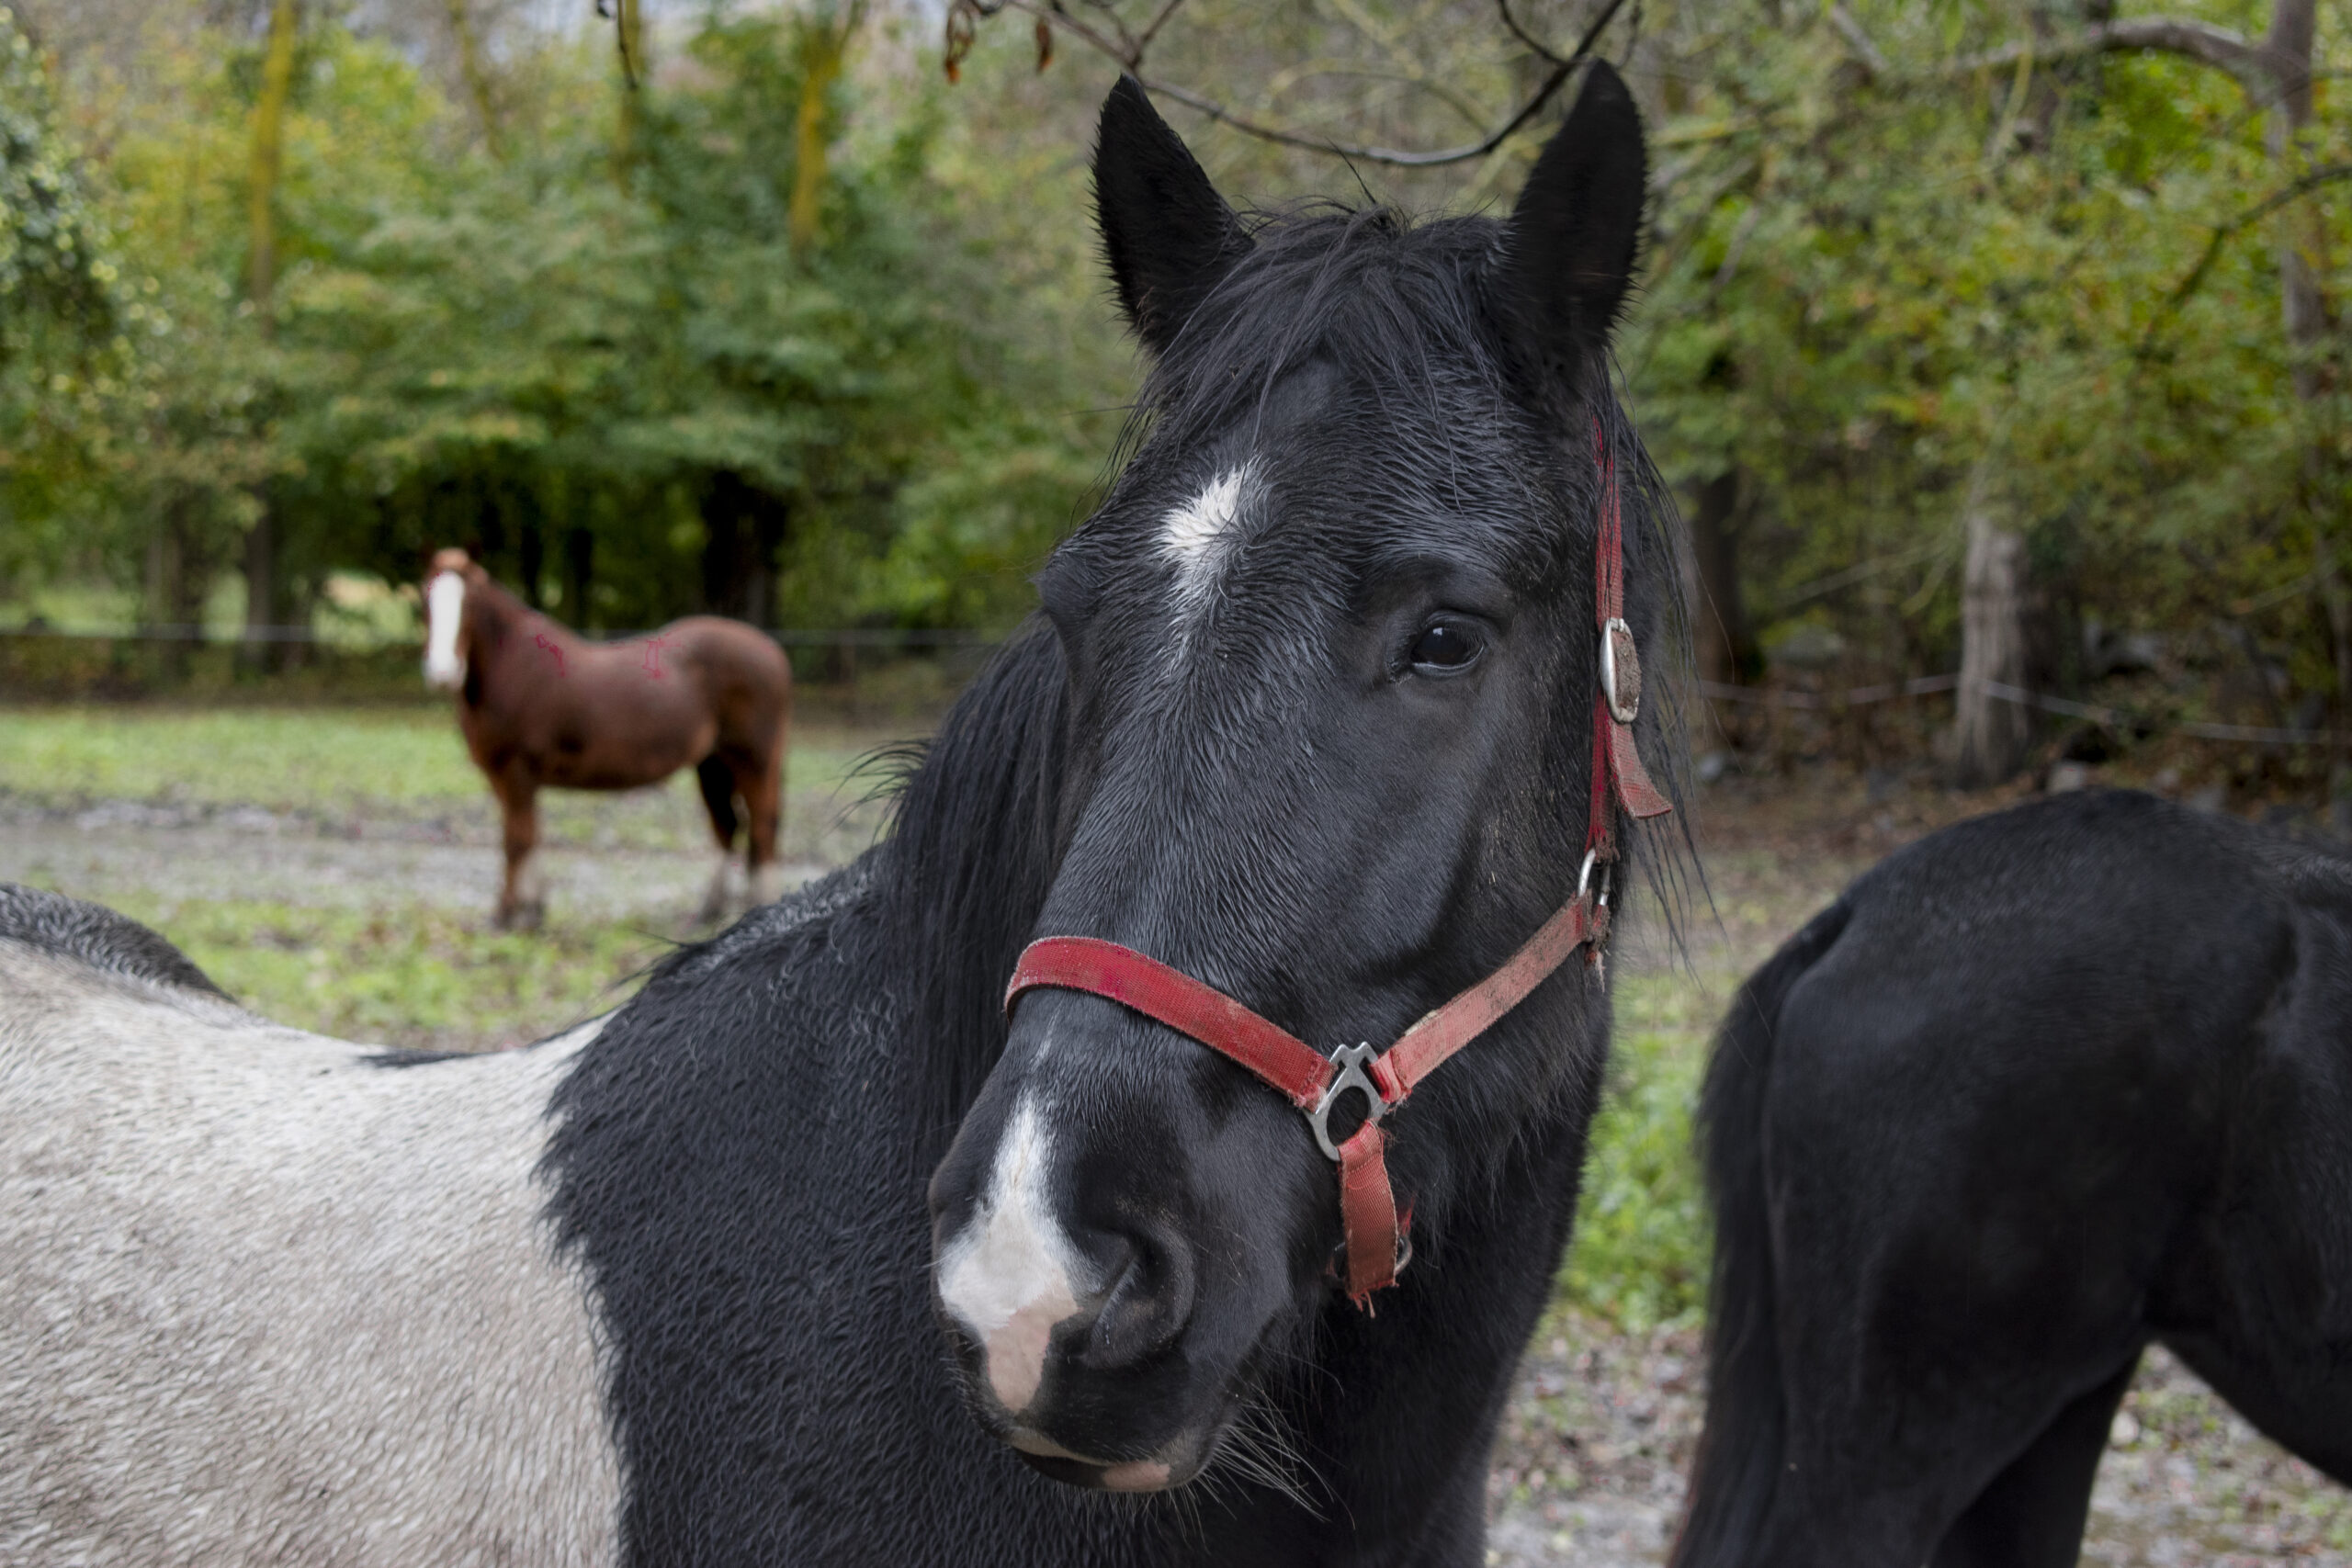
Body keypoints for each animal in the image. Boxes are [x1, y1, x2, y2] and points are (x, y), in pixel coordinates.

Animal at [421, 546, 792, 928]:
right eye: (425, 600)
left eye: (469, 603)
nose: (442, 672)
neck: (513, 669)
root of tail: (771, 650)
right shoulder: (504, 778)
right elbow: (531, 836)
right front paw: (534, 912)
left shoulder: (516, 772)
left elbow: (516, 841)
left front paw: (508, 916)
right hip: (712, 764)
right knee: (728, 826)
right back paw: (709, 911)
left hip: (753, 762)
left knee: (763, 828)